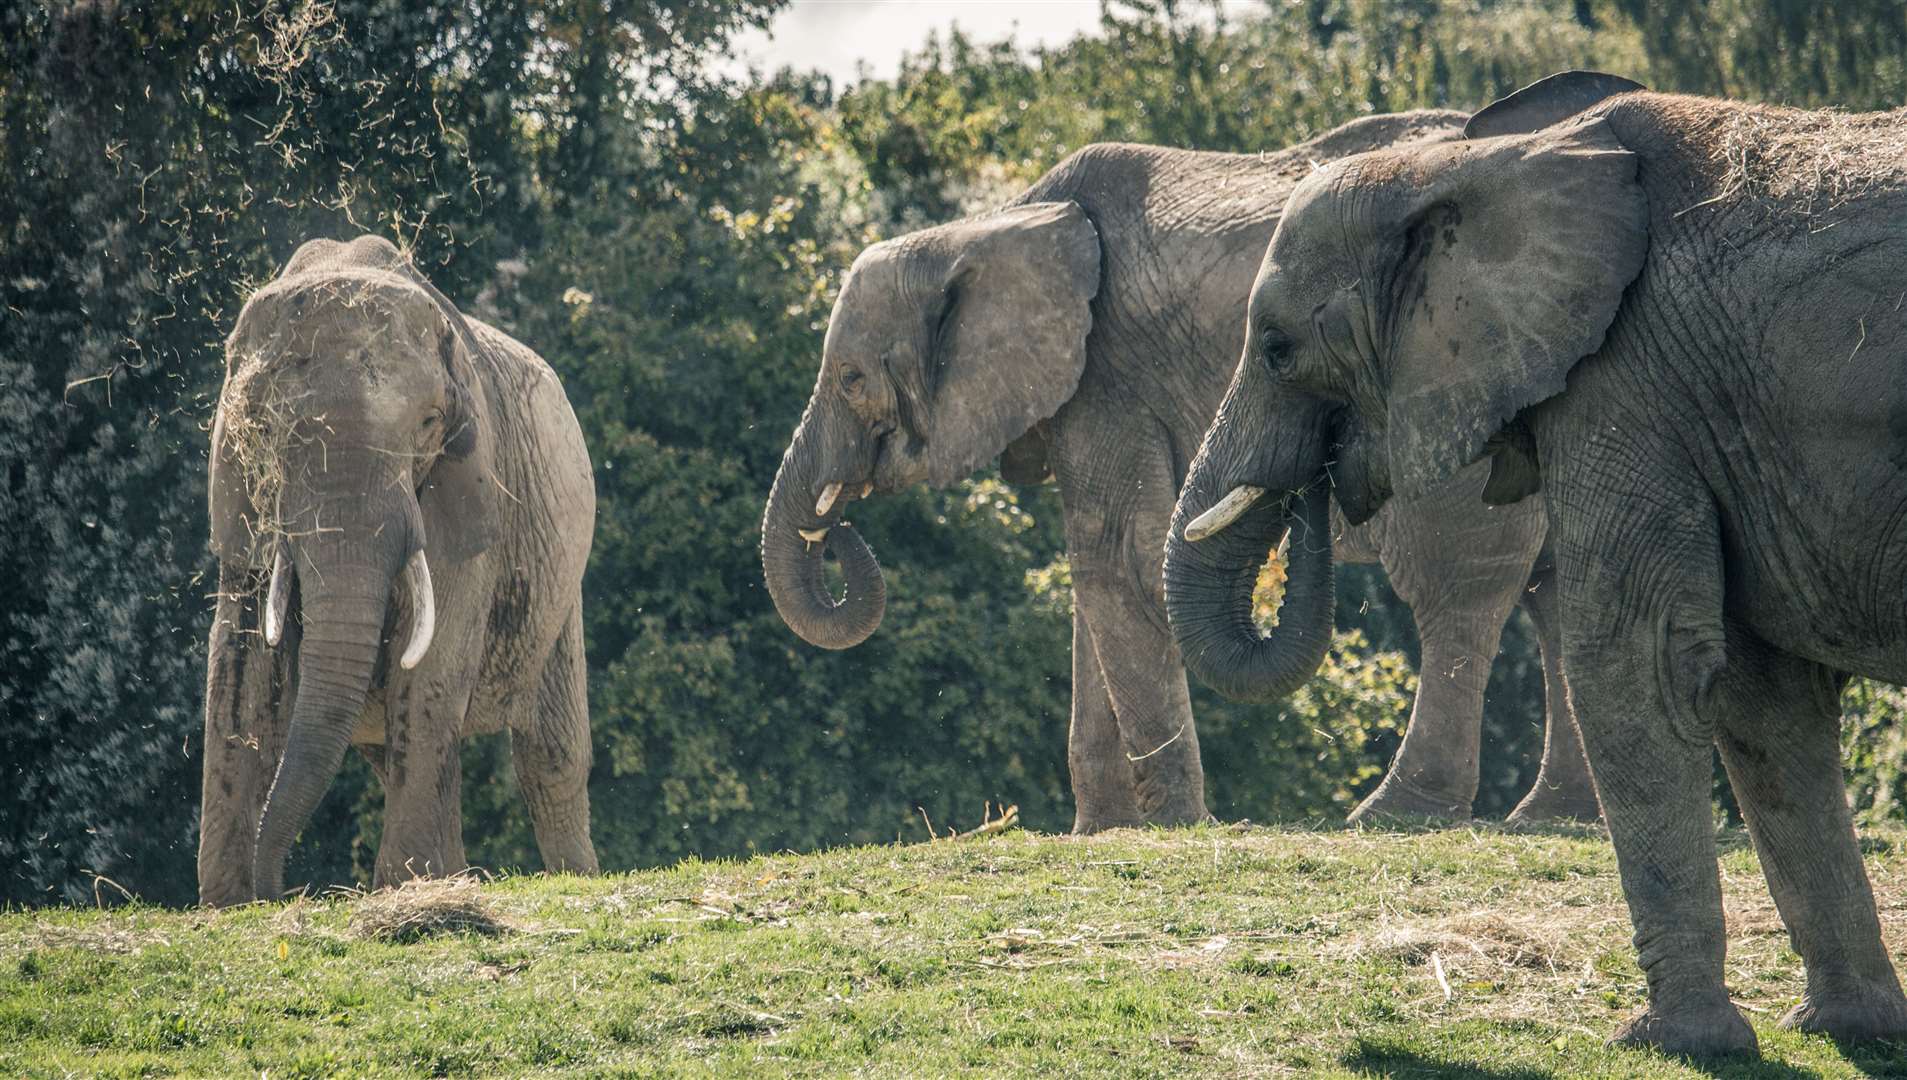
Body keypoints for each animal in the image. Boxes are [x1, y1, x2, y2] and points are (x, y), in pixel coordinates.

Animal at [201, 239, 594, 915]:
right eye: (266, 430)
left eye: (429, 424)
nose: (281, 892)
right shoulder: (242, 500)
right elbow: (239, 663)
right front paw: (227, 904)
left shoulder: (471, 484)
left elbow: (435, 656)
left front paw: (412, 885)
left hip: (562, 586)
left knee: (551, 757)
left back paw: (574, 877)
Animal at [755, 112, 1594, 839]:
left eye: (853, 379)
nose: (838, 531)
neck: (996, 223)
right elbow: (1094, 581)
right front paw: (1100, 832)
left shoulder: (1107, 377)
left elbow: (1118, 559)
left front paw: (1172, 826)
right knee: (1559, 584)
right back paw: (1551, 817)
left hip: (1456, 360)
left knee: (1459, 579)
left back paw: (1395, 814)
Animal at [1159, 69, 1907, 1060]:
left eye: (1279, 348)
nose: (1323, 482)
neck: (1468, 164)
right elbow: (1763, 695)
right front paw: (1843, 1029)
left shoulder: (1627, 379)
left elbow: (1636, 661)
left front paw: (1671, 1041)